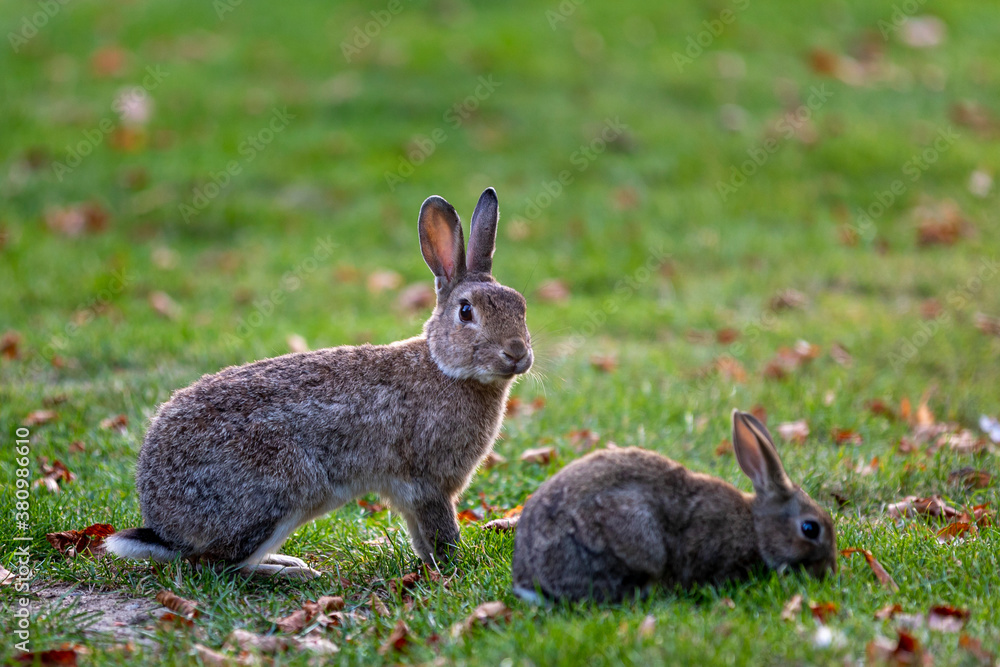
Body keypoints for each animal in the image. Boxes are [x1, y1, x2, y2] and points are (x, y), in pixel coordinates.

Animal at [105, 187, 533, 579]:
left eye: (521, 306)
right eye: (466, 312)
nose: (517, 353)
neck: (444, 368)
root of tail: (162, 521)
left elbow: (420, 536)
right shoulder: (428, 484)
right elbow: (441, 531)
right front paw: (454, 566)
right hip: (281, 487)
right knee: (218, 564)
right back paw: (294, 572)